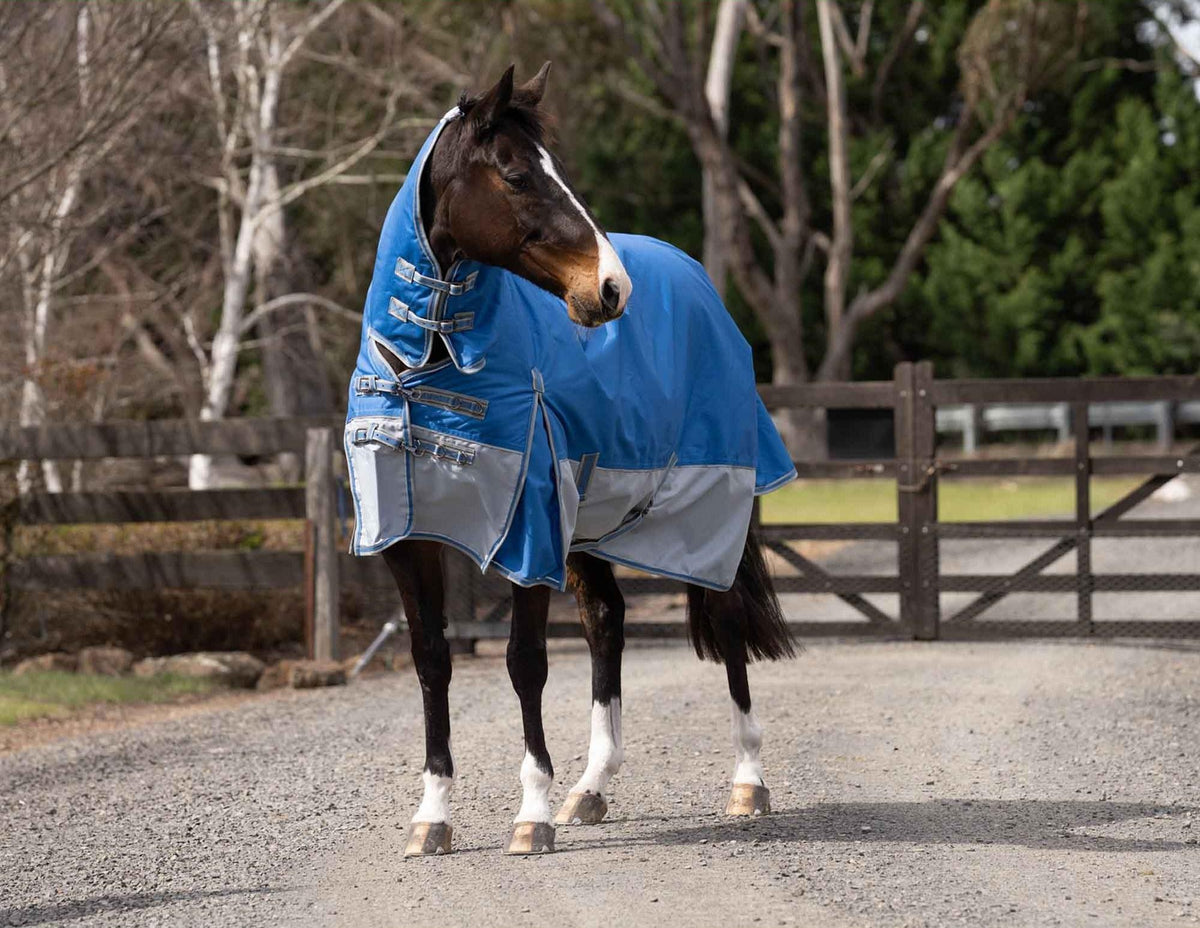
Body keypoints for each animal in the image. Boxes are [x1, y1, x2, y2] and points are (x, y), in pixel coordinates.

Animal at [344, 63, 798, 857]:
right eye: (517, 175)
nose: (612, 288)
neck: (428, 365)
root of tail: (698, 281)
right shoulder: (407, 537)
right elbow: (432, 660)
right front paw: (434, 816)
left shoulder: (526, 530)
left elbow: (526, 661)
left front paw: (530, 814)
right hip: (590, 516)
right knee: (607, 621)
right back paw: (590, 789)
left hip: (714, 510)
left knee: (728, 619)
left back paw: (748, 781)